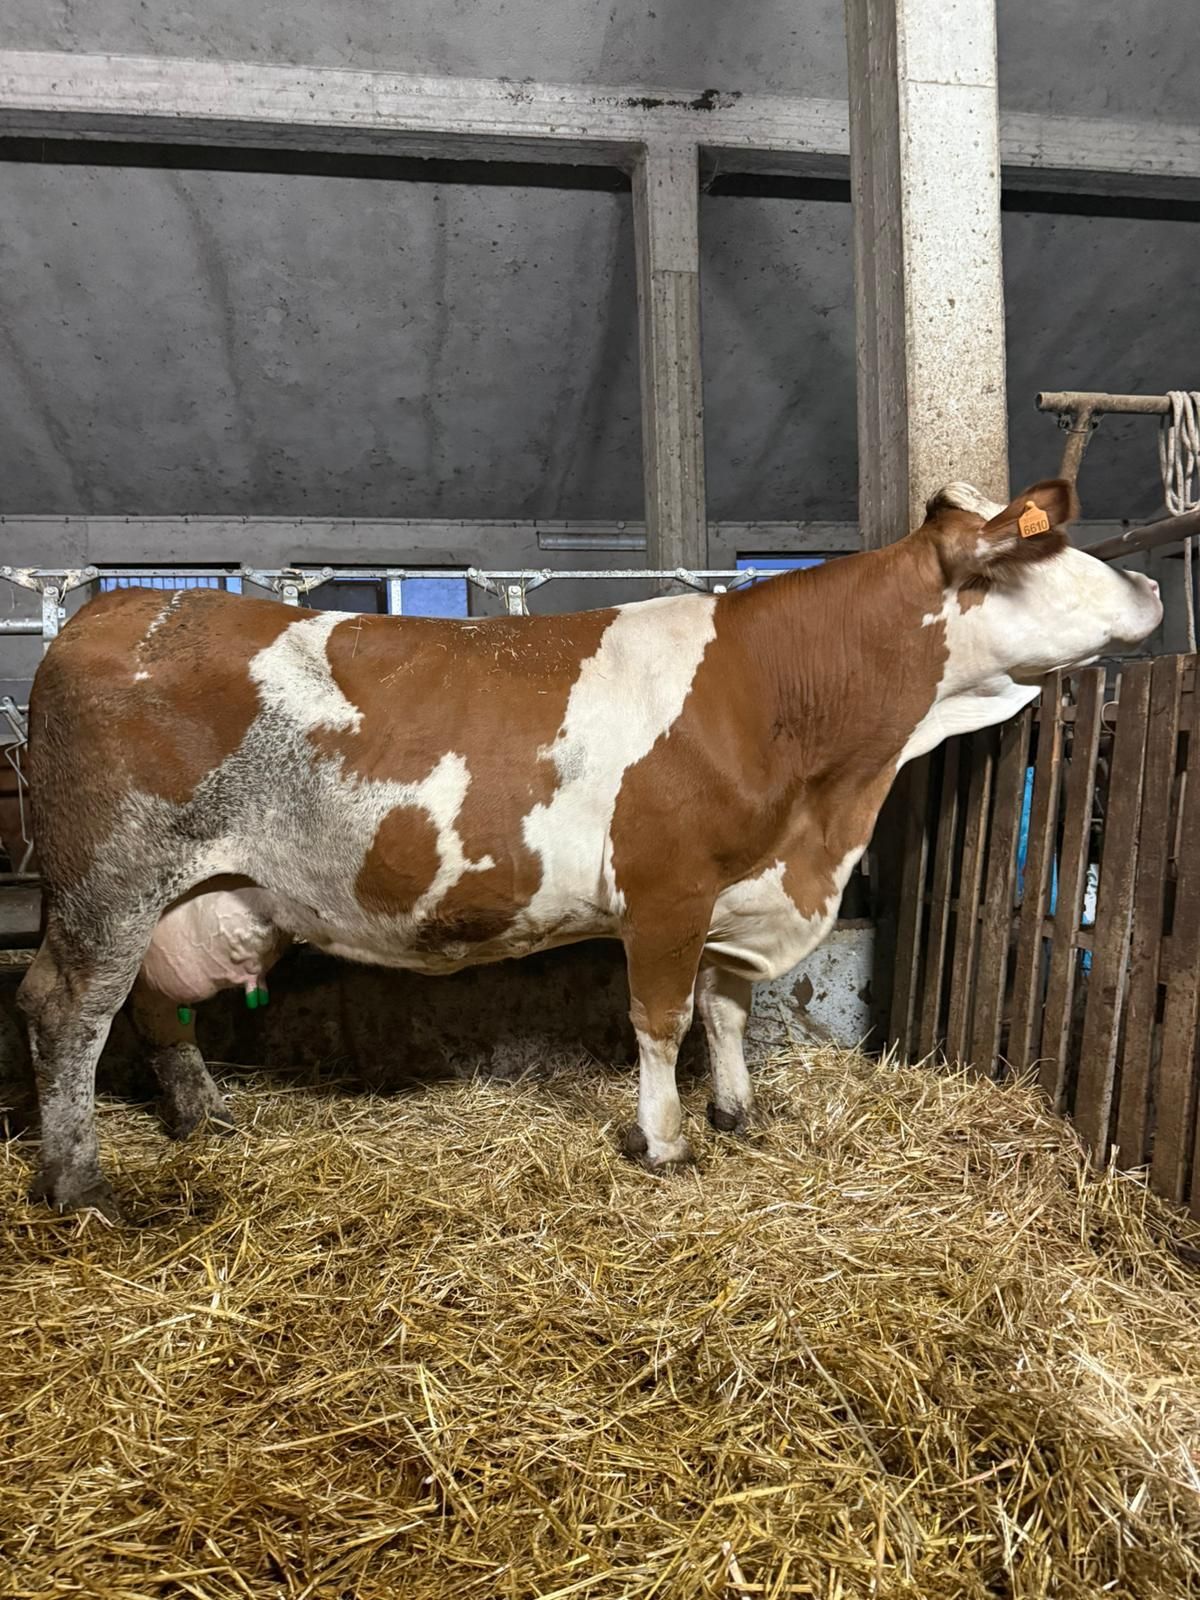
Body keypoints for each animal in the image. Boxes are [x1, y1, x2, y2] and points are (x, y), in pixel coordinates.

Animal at [18, 479, 1161, 1219]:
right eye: (1047, 548)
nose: (1153, 588)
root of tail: (116, 609)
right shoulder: (667, 887)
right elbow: (661, 1019)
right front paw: (665, 1142)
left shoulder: (737, 888)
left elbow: (725, 1008)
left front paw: (739, 1112)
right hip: (106, 882)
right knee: (69, 1010)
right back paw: (81, 1184)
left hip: (173, 891)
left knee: (151, 1004)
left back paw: (202, 1118)